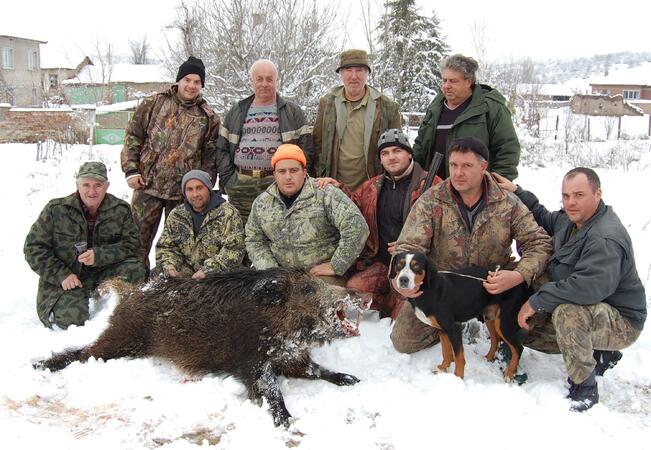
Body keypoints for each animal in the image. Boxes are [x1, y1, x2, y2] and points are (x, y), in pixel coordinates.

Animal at [390, 251, 532, 382]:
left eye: (416, 266)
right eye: (399, 265)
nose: (403, 280)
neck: (428, 290)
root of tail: (522, 283)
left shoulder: (453, 327)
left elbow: (459, 357)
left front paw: (458, 378)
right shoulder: (442, 329)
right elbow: (446, 352)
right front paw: (443, 368)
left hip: (504, 322)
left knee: (518, 348)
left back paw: (510, 373)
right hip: (490, 317)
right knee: (495, 339)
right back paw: (488, 358)